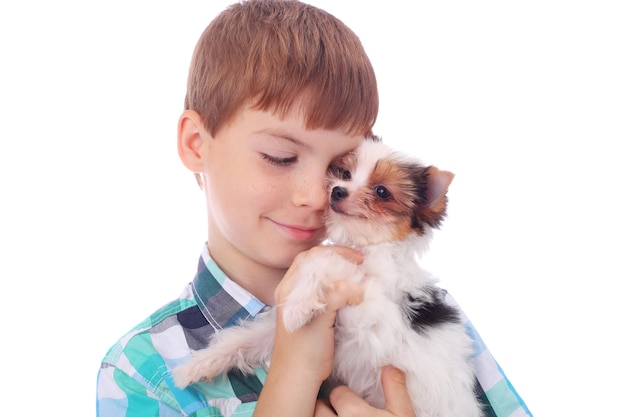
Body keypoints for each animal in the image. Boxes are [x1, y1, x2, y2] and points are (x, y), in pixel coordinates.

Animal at [173, 137, 480, 416]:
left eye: (382, 191)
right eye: (345, 174)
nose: (338, 191)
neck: (368, 248)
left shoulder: (373, 317)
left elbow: (322, 260)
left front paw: (297, 307)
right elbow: (247, 337)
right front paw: (196, 365)